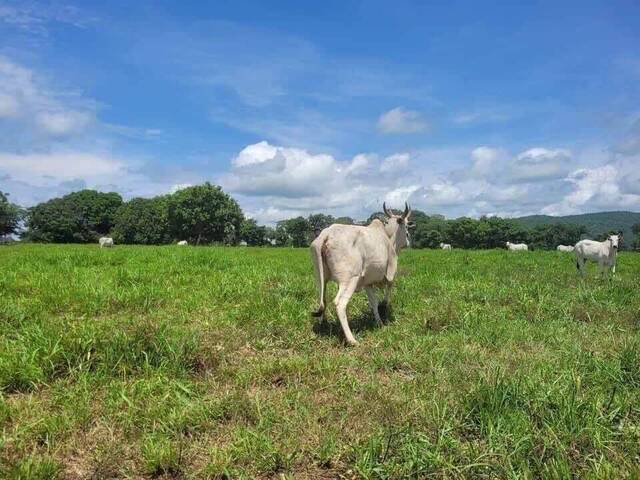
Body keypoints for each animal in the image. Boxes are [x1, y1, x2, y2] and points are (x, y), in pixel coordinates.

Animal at [312, 202, 416, 344]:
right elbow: (387, 291)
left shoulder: (368, 283)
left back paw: (323, 325)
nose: (409, 240)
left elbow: (374, 303)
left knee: (322, 299)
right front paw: (384, 306)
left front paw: (379, 323)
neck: (389, 237)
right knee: (339, 304)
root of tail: (326, 235)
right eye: (405, 225)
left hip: (320, 278)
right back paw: (351, 340)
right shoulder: (390, 273)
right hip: (350, 279)